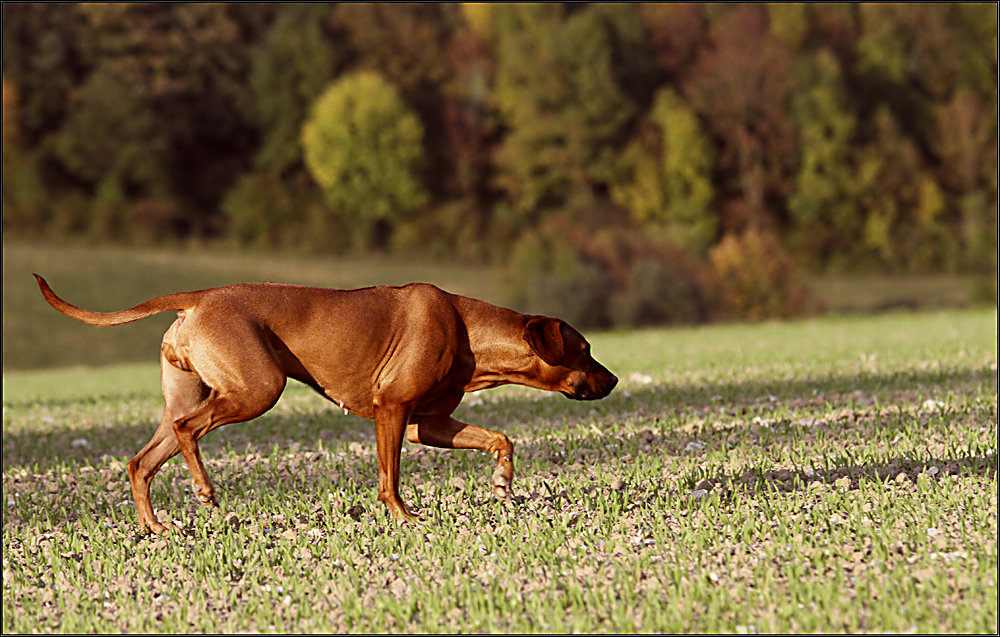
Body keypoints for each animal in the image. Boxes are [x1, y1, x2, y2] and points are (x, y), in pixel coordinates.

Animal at [35, 274, 616, 532]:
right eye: (585, 349)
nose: (611, 380)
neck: (468, 331)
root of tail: (197, 299)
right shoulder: (393, 410)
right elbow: (389, 479)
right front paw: (405, 517)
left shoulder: (427, 424)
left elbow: (501, 438)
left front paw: (503, 483)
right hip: (257, 388)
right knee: (187, 430)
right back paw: (203, 489)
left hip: (191, 391)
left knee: (142, 460)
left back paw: (156, 527)